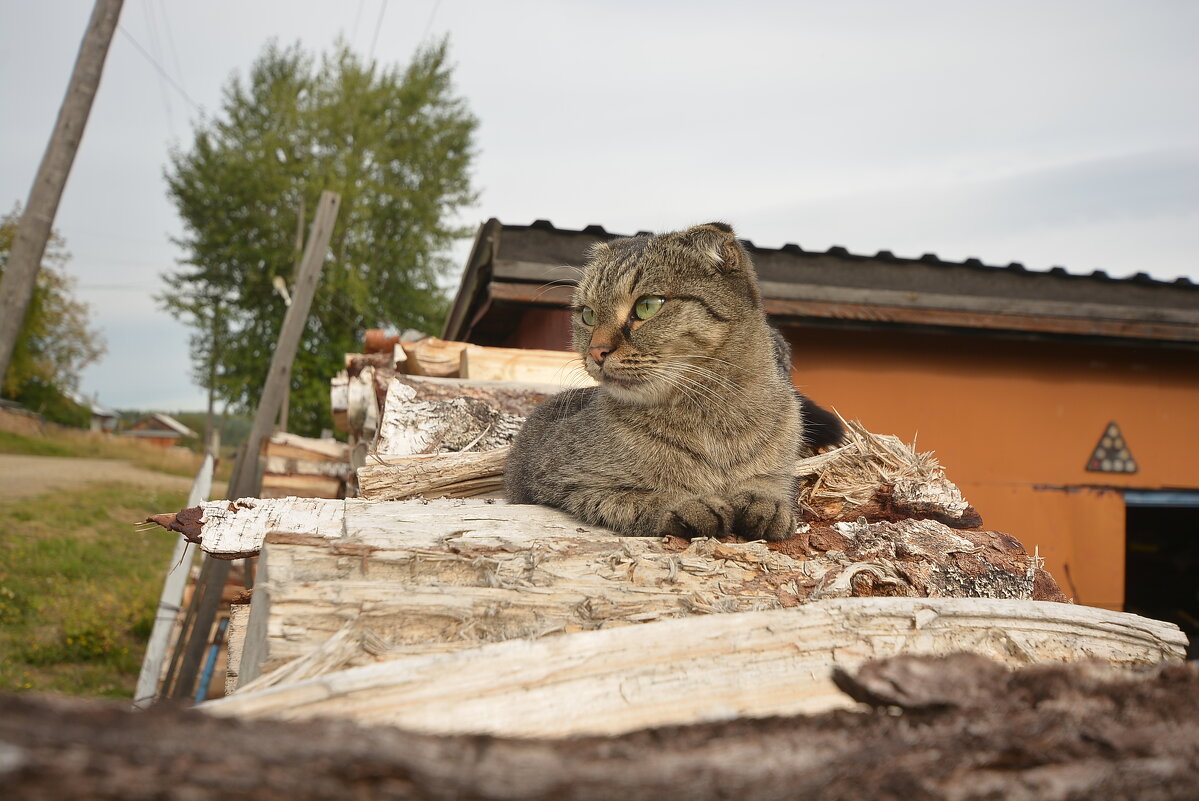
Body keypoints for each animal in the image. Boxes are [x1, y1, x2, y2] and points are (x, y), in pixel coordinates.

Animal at [505, 221, 844, 541]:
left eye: (647, 305)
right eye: (588, 314)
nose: (596, 351)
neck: (712, 419)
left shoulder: (781, 466)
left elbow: (770, 483)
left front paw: (765, 502)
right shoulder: (559, 480)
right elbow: (627, 498)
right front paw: (685, 503)